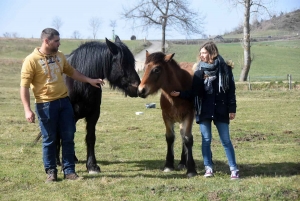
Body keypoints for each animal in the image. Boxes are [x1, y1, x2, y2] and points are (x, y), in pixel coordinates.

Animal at [49, 36, 141, 174]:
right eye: (123, 63)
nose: (137, 88)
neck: (80, 84)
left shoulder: (94, 114)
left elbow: (90, 138)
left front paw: (92, 165)